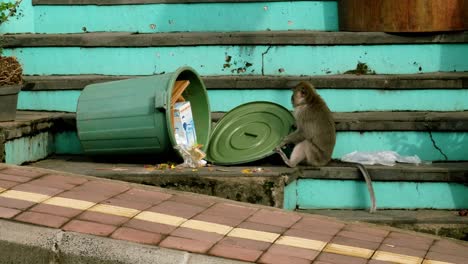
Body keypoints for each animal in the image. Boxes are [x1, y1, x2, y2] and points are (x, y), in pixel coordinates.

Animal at [274, 81, 376, 213]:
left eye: (293, 94)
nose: (291, 99)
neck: (310, 100)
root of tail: (327, 159)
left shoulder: (302, 113)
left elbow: (303, 134)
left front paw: (283, 141)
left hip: (315, 157)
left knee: (305, 143)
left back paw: (290, 163)